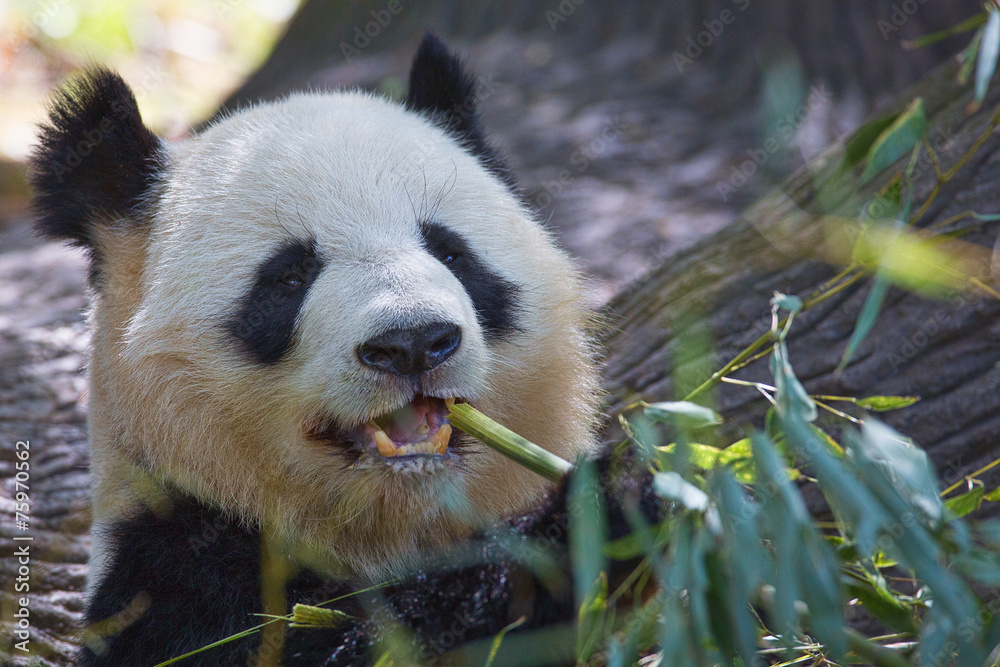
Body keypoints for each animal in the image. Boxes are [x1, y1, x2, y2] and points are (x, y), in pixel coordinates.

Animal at [30, 34, 656, 666]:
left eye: (450, 252)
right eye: (288, 276)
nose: (412, 343)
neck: (396, 517)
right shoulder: (170, 573)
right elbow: (341, 639)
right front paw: (602, 508)